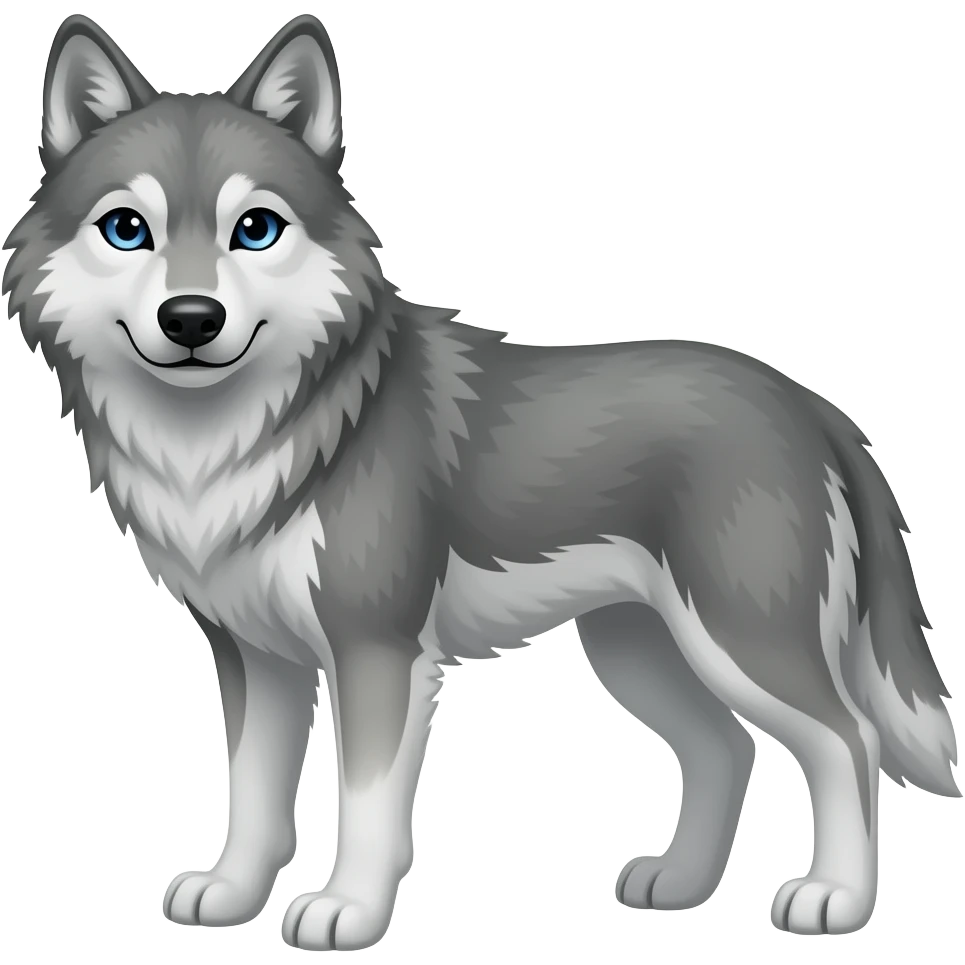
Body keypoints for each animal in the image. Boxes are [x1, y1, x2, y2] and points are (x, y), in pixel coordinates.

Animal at [3, 11, 958, 950]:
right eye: (128, 229)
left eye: (256, 229)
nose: (193, 319)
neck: (235, 438)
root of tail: (809, 403)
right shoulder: (255, 657)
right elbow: (253, 793)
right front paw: (233, 894)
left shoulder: (378, 650)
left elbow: (367, 802)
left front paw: (348, 910)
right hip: (637, 647)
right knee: (727, 747)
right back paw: (680, 885)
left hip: (738, 637)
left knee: (847, 738)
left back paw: (833, 897)